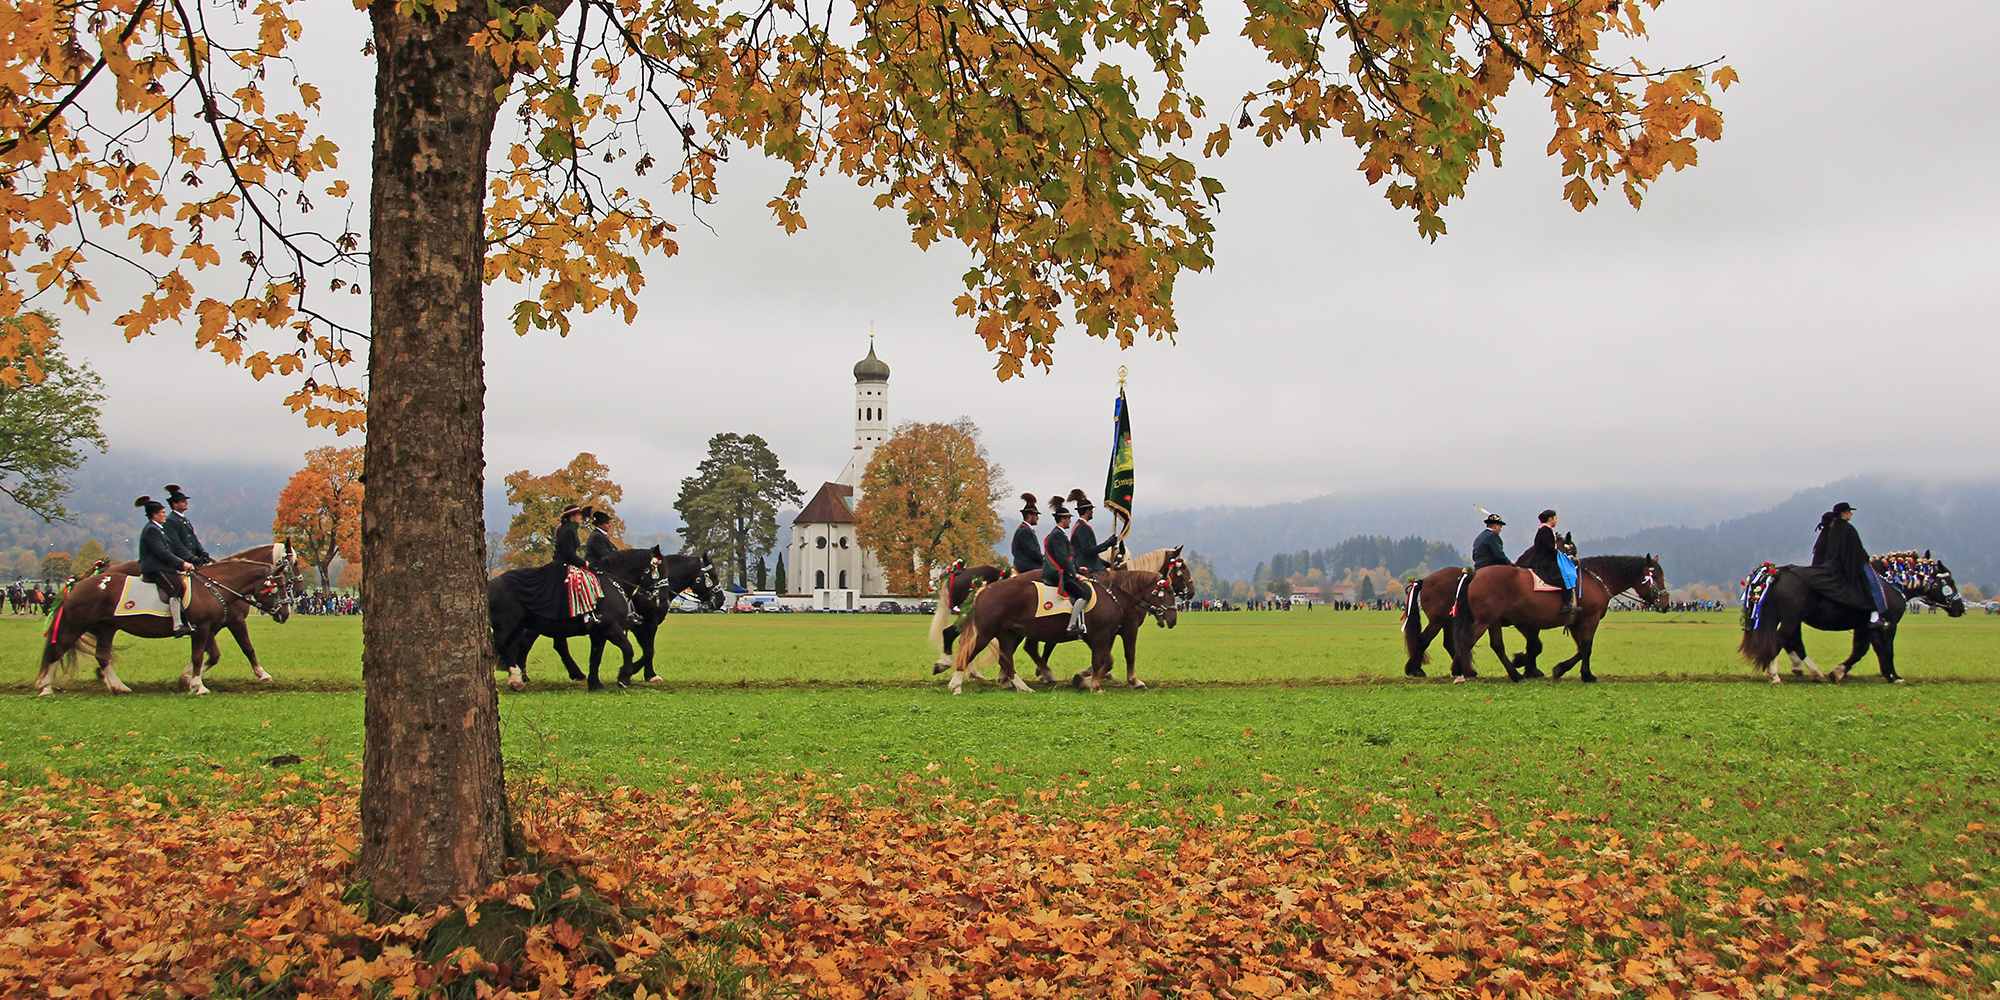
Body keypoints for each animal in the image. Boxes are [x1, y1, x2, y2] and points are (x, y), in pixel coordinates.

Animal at [35, 560, 300, 700]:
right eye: (278, 587)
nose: (285, 613)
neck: (213, 587)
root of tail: (79, 584)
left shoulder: (209, 628)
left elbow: (210, 655)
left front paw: (188, 680)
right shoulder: (204, 628)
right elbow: (203, 656)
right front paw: (198, 685)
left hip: (106, 628)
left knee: (102, 657)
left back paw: (117, 686)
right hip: (76, 625)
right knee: (56, 651)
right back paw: (45, 687)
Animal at [540, 552, 728, 684]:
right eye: (713, 575)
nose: (721, 600)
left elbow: (647, 649)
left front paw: (637, 673)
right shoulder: (646, 624)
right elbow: (649, 650)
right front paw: (641, 673)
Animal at [944, 556, 1176, 696]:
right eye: (1169, 590)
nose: (1173, 619)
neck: (1112, 594)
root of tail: (985, 589)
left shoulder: (1104, 636)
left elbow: (1106, 660)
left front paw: (1086, 680)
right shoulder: (1104, 635)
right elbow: (1105, 659)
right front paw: (1096, 685)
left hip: (1009, 634)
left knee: (1007, 660)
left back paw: (1023, 686)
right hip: (986, 633)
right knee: (969, 654)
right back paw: (956, 684)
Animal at [1736, 560, 1968, 684]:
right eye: (1949, 581)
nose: (1960, 608)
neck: (1890, 584)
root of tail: (1777, 572)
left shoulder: (1866, 626)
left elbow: (1862, 649)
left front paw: (1839, 672)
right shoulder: (1889, 624)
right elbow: (1886, 650)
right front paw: (1894, 676)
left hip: (1789, 618)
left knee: (1791, 642)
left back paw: (1811, 672)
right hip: (1790, 618)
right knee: (1780, 640)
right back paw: (1776, 674)